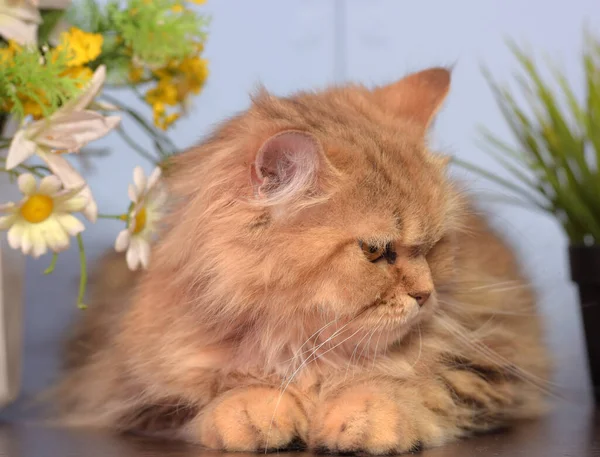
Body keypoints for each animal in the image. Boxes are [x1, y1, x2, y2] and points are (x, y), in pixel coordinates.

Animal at [58, 67, 552, 452]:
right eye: (375, 251)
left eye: (432, 246)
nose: (425, 294)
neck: (301, 350)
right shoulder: (136, 393)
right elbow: (219, 399)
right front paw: (258, 413)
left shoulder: (489, 366)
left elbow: (414, 389)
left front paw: (364, 416)